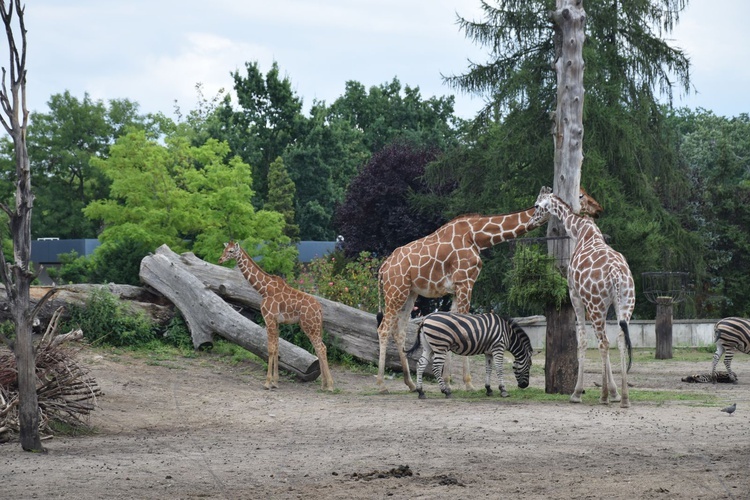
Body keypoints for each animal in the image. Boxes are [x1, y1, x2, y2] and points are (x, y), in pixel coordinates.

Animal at [217, 240, 334, 392]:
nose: (220, 259)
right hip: (315, 326)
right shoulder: (276, 321)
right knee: (320, 348)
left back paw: (330, 386)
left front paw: (267, 383)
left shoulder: (269, 318)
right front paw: (276, 382)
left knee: (321, 348)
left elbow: (270, 349)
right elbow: (277, 348)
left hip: (309, 325)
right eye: (224, 249)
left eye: (231, 251)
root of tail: (319, 309)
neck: (263, 289)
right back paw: (323, 384)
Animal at [406, 310, 536, 400]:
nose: (525, 386)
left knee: (420, 365)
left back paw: (420, 392)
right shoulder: (498, 348)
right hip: (440, 346)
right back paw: (446, 391)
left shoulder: (489, 352)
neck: (508, 334)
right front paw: (503, 390)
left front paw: (489, 389)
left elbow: (488, 369)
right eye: (529, 366)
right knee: (436, 367)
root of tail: (425, 318)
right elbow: (499, 369)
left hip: (428, 347)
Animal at [536, 189, 636, 408]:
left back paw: (603, 396)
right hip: (625, 302)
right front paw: (615, 393)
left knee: (603, 342)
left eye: (537, 205)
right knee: (620, 339)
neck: (580, 230)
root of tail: (617, 274)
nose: (532, 218)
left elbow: (581, 339)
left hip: (596, 304)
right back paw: (624, 398)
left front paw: (577, 393)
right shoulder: (605, 304)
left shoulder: (575, 295)